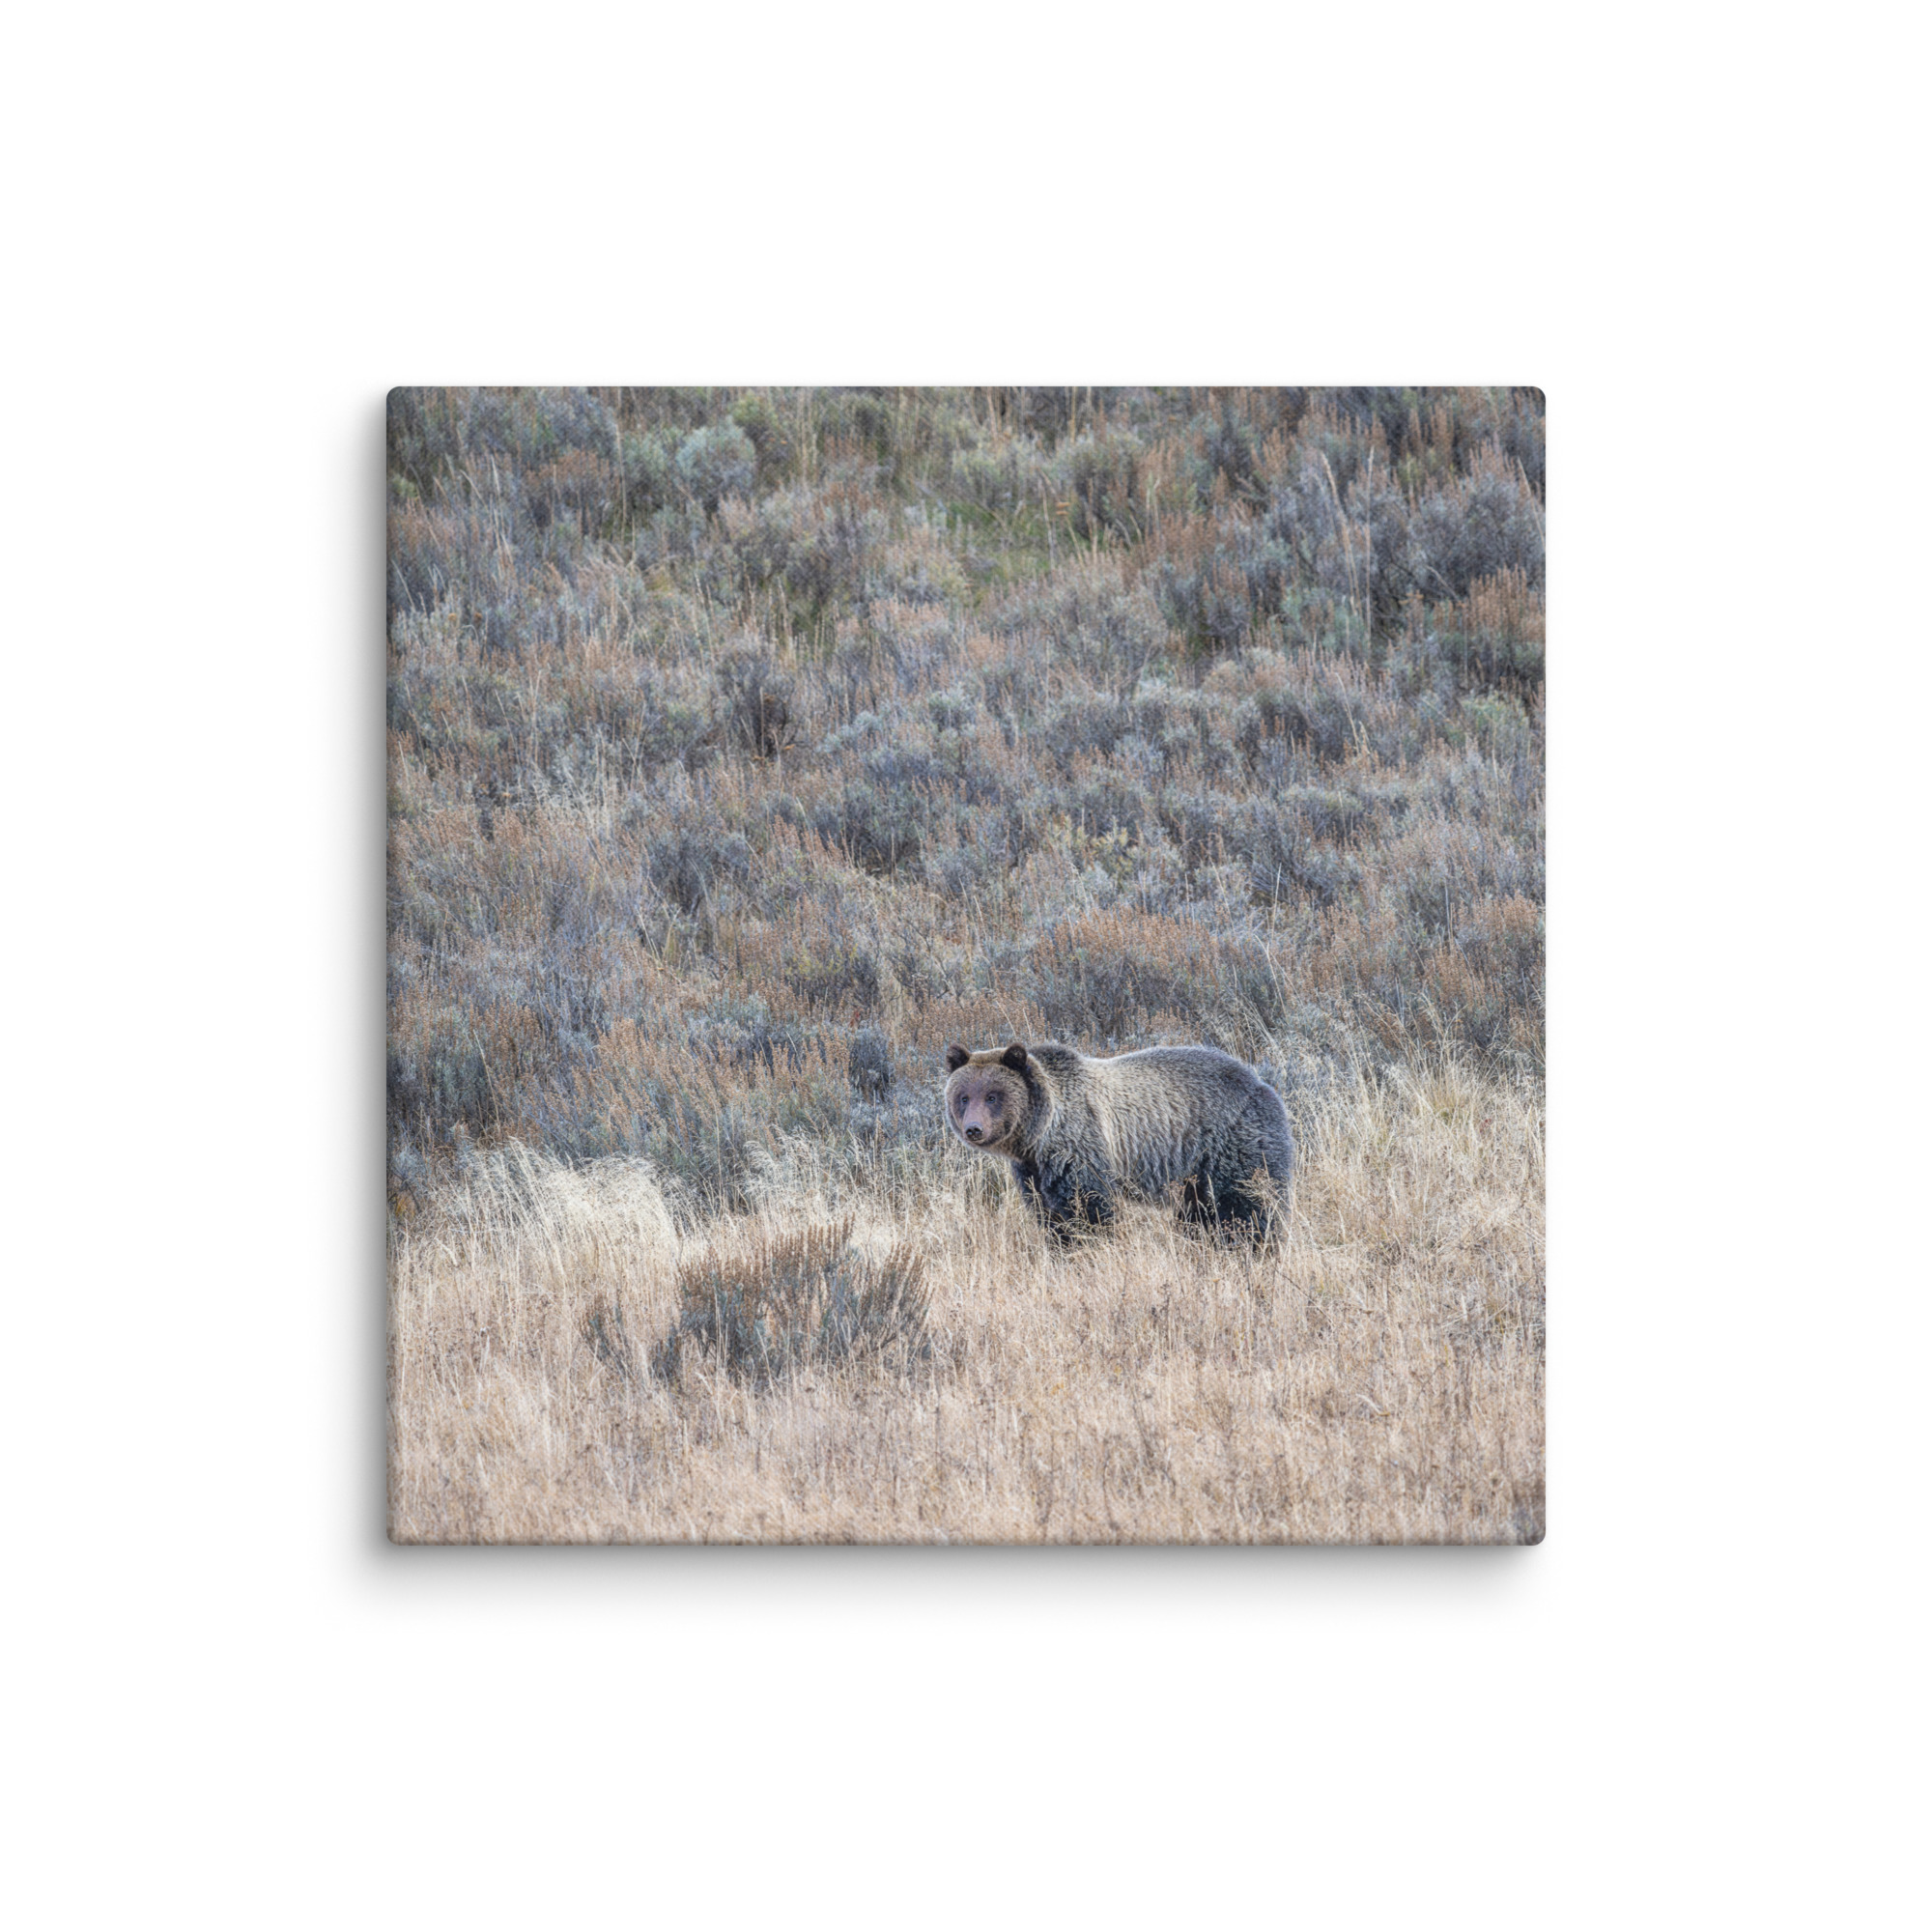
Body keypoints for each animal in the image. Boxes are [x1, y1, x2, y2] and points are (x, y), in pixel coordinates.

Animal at [942, 1040, 1293, 1241]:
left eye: (992, 1096)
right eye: (963, 1097)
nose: (974, 1129)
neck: (1039, 1136)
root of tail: (1261, 1082)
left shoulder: (1080, 1148)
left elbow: (1090, 1210)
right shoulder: (1033, 1172)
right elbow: (1049, 1215)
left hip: (1233, 1143)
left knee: (1247, 1205)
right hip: (1194, 1174)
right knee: (1198, 1214)